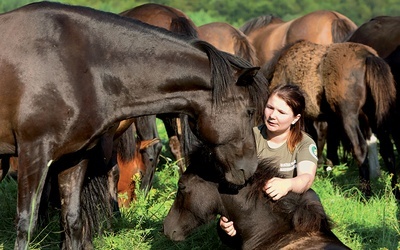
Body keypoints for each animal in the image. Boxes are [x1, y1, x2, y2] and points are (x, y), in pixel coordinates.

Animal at [0, 1, 268, 248]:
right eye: (249, 111)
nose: (250, 168)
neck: (78, 65)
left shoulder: (74, 157)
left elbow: (73, 219)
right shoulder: (34, 153)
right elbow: (26, 223)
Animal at [260, 40, 396, 197]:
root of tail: (367, 56)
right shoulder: (328, 119)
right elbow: (324, 137)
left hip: (348, 116)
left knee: (360, 148)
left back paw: (365, 193)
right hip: (374, 115)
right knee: (387, 149)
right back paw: (394, 191)